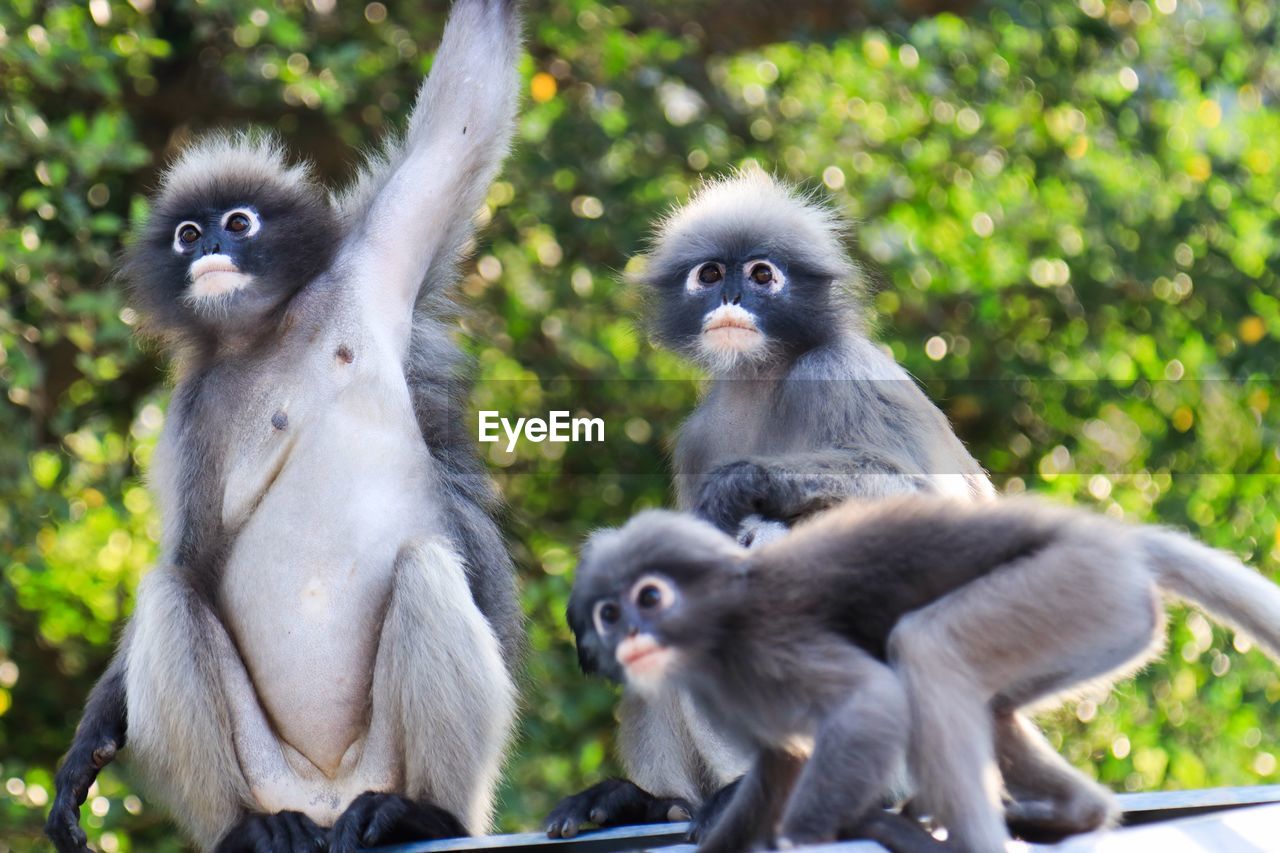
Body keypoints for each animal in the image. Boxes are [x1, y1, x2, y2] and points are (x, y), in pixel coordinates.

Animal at [45, 3, 522, 845]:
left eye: (238, 221)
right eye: (188, 234)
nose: (212, 245)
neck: (267, 335)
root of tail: (329, 797)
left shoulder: (367, 267)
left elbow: (459, 125)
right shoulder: (189, 416)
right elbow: (191, 556)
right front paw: (88, 742)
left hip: (393, 764)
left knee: (426, 567)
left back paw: (419, 811)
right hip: (270, 775)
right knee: (168, 592)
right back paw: (246, 828)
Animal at [547, 171, 1111, 835]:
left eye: (762, 274)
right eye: (710, 274)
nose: (731, 296)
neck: (764, 376)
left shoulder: (842, 368)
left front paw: (739, 484)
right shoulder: (696, 437)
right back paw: (651, 800)